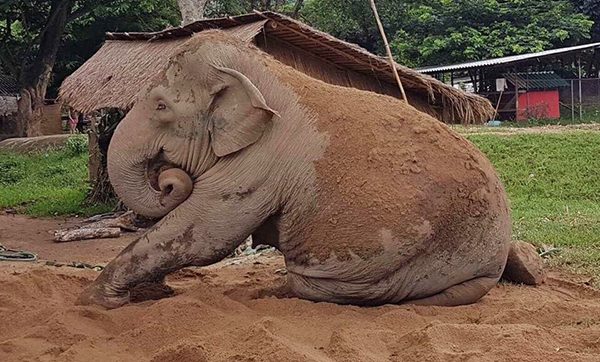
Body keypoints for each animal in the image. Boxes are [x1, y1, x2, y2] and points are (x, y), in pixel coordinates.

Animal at [78, 29, 510, 310]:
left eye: (161, 106)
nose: (168, 181)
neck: (267, 73)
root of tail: (497, 255)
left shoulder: (260, 161)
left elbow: (205, 235)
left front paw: (98, 299)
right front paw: (153, 294)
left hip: (403, 266)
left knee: (320, 289)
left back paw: (273, 292)